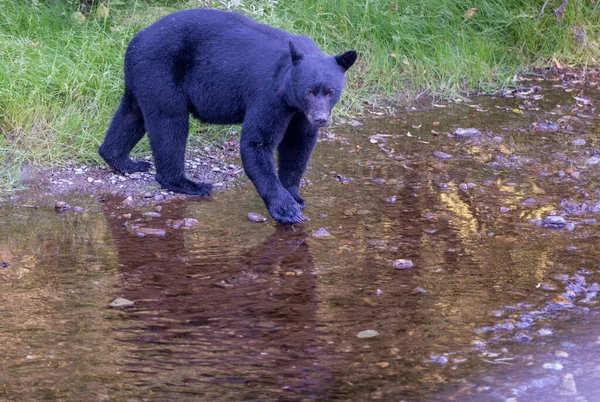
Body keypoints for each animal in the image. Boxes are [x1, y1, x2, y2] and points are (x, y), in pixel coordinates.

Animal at [99, 8, 356, 223]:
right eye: (309, 91)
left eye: (331, 92)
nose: (321, 118)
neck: (290, 94)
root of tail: (134, 41)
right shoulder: (269, 95)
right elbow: (257, 142)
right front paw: (285, 208)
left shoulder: (300, 112)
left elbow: (299, 143)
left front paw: (295, 195)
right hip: (160, 71)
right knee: (169, 122)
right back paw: (187, 184)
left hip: (141, 76)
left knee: (132, 114)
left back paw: (122, 160)